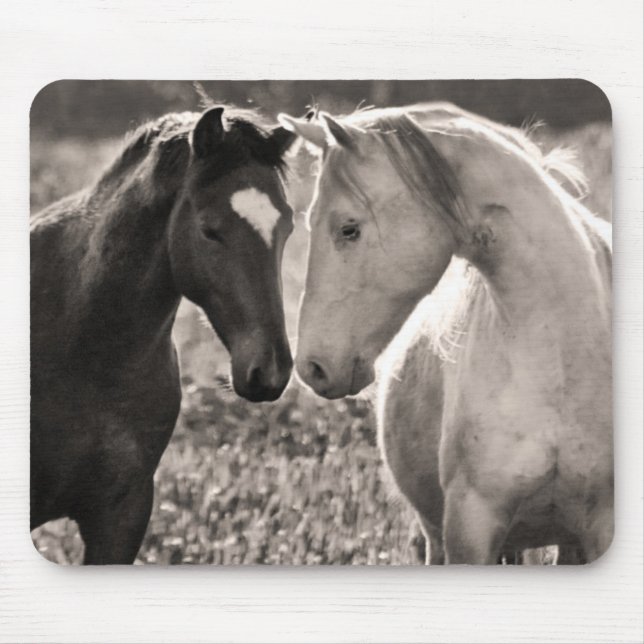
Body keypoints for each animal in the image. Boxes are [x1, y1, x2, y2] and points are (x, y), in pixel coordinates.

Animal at [279, 103, 612, 565]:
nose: (312, 366)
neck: (561, 362)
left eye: (348, 228)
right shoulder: (470, 527)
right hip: (439, 537)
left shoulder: (600, 529)